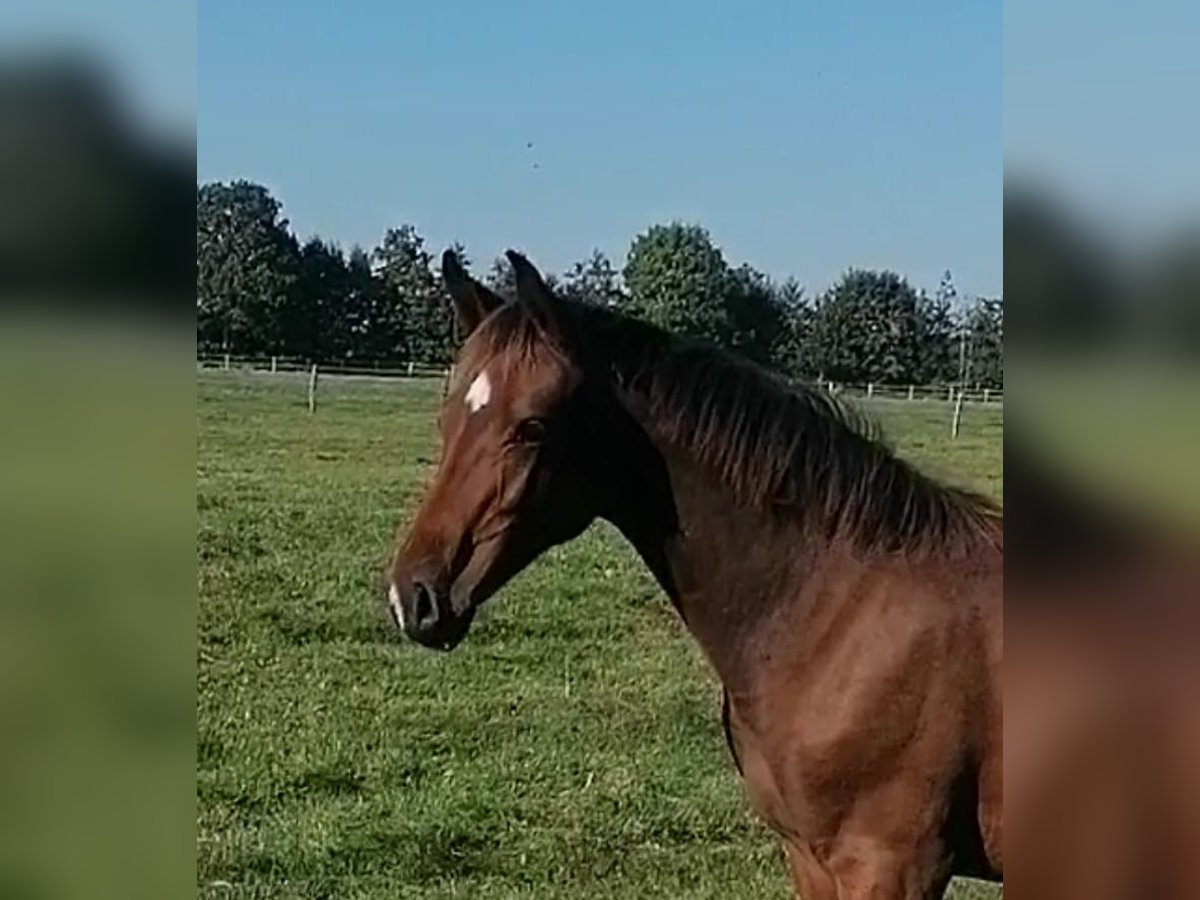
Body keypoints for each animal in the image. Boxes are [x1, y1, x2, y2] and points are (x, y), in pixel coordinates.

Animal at [386, 248, 1003, 900]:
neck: (840, 612)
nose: (415, 597)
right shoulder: (809, 857)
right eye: (447, 415)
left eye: (531, 428)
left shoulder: (891, 866)